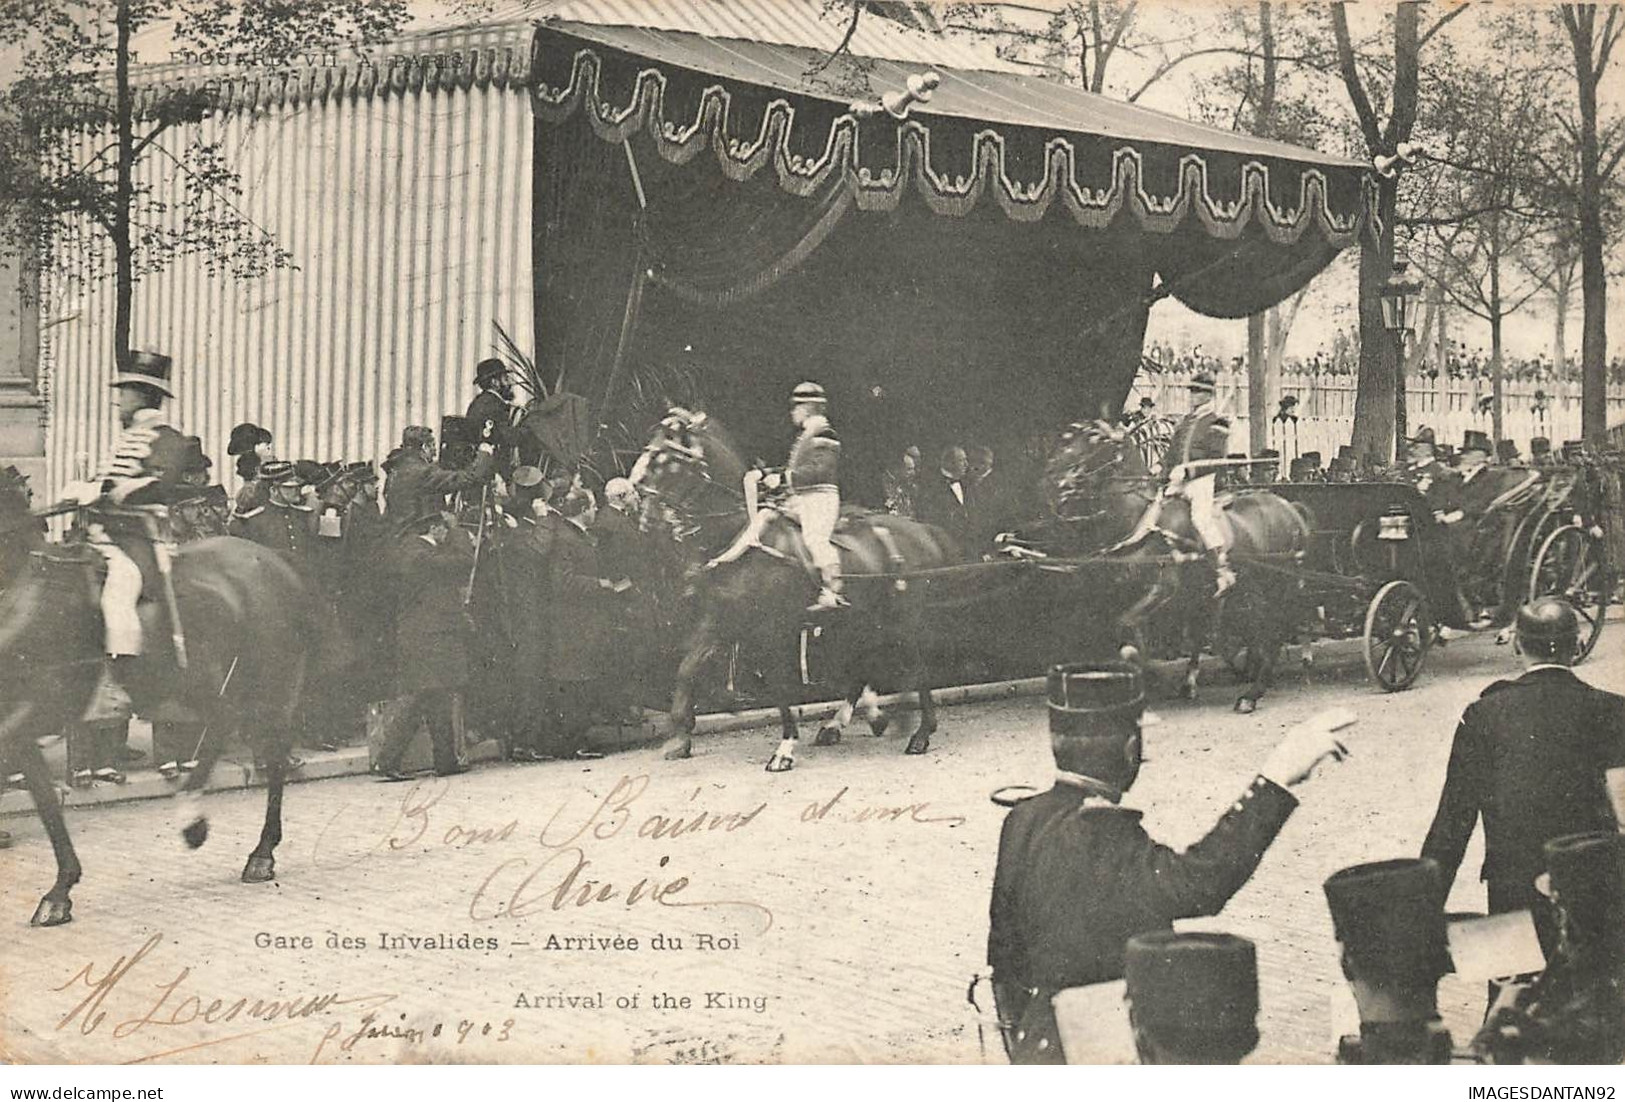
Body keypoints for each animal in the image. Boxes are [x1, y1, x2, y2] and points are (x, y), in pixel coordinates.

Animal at [0, 490, 323, 923]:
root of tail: (275, 561)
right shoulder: (23, 721)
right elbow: (45, 797)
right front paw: (60, 891)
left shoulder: (37, 709)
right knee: (228, 728)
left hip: (264, 683)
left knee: (263, 751)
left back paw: (238, 843)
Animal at [627, 407, 962, 776]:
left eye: (668, 459)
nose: (642, 514)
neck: (742, 538)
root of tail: (922, 530)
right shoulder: (720, 622)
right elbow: (687, 670)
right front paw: (679, 739)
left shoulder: (772, 631)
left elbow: (781, 688)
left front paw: (784, 749)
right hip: (862, 619)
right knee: (863, 666)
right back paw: (849, 723)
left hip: (903, 619)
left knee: (917, 667)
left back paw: (920, 733)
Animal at [1020, 419, 1313, 711]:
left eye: (1093, 438)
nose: (1048, 477)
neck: (1139, 522)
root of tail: (1290, 508)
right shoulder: (1118, 596)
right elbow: (1124, 635)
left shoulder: (1163, 593)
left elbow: (1130, 632)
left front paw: (1157, 679)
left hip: (1278, 589)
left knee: (1273, 633)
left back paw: (1252, 694)